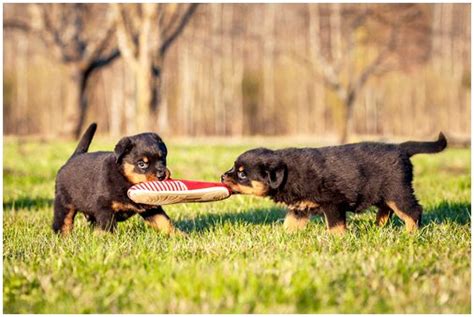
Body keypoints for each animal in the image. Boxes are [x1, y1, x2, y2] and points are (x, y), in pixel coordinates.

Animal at [222, 132, 448, 233]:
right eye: (234, 168)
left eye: (242, 175)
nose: (223, 176)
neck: (289, 174)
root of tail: (401, 148)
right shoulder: (299, 208)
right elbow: (290, 224)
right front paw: (284, 237)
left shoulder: (333, 203)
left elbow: (336, 226)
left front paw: (338, 240)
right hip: (382, 193)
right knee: (386, 209)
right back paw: (378, 226)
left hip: (397, 191)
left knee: (413, 211)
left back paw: (410, 234)